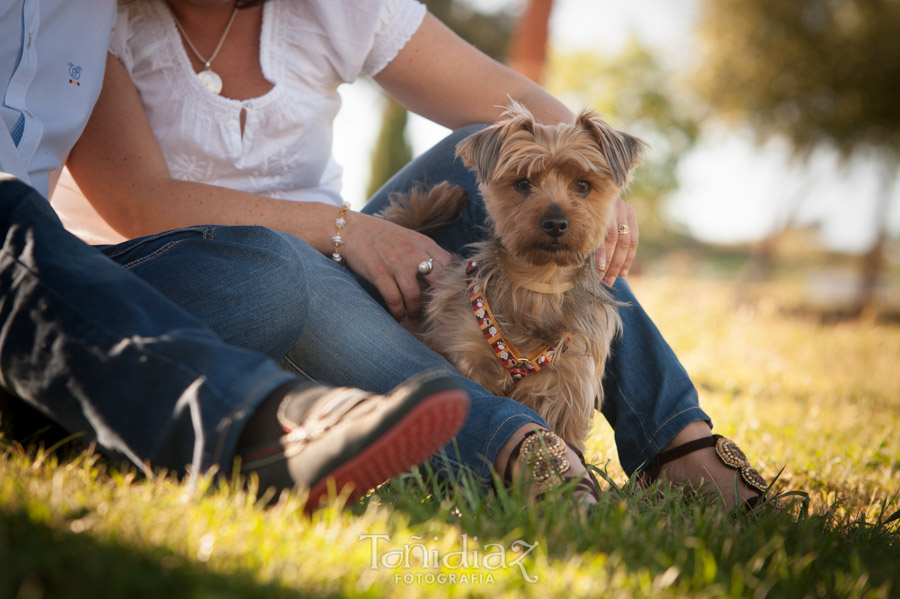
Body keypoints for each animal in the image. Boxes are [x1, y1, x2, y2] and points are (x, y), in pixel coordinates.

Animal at [380, 103, 648, 450]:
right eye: (522, 183)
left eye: (583, 185)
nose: (555, 222)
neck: (540, 281)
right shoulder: (464, 352)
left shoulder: (569, 383)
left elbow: (566, 435)